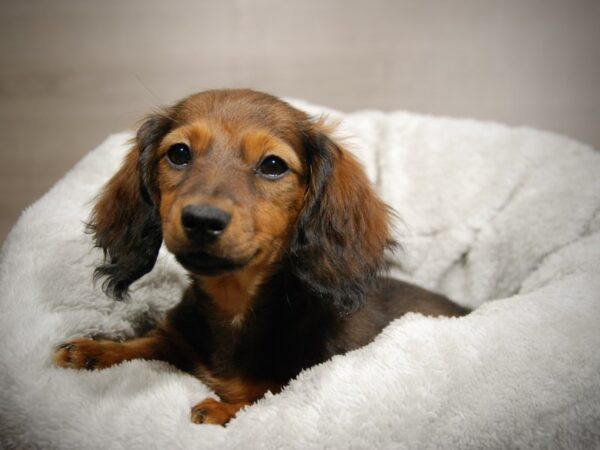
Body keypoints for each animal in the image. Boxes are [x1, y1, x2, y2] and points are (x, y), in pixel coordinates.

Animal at [55, 89, 468, 426]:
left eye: (272, 165)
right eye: (179, 153)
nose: (202, 220)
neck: (236, 305)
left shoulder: (293, 385)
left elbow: (255, 398)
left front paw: (220, 409)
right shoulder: (177, 338)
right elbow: (143, 344)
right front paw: (94, 349)